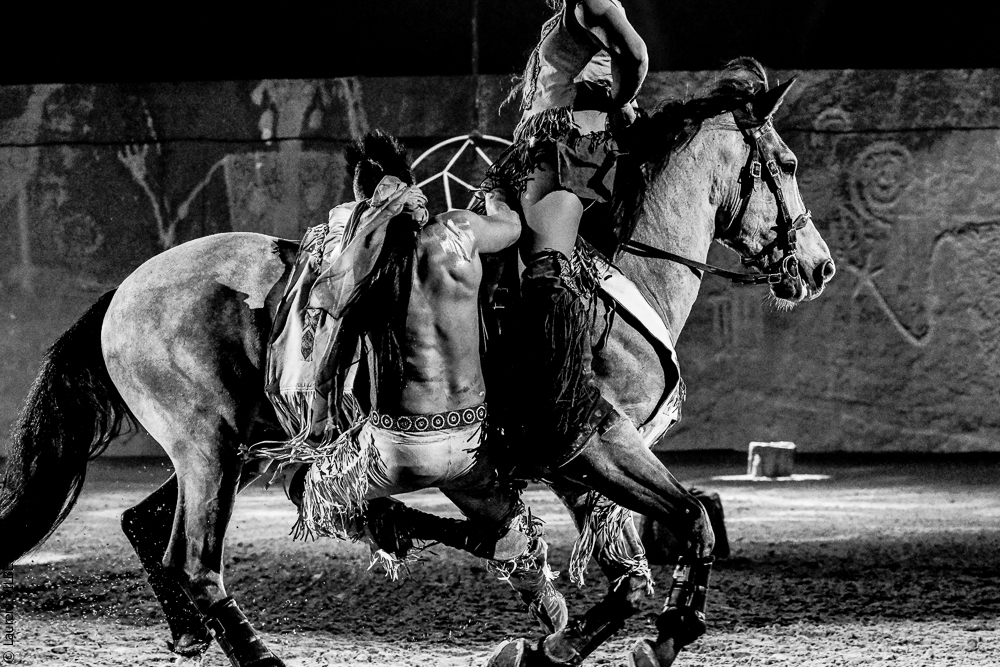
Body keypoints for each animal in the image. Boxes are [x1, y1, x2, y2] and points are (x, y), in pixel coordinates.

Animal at [0, 58, 834, 667]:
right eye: (788, 162)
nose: (818, 266)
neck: (606, 266)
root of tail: (124, 290)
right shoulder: (597, 442)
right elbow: (690, 519)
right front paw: (661, 632)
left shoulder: (577, 462)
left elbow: (633, 574)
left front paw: (554, 642)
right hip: (209, 447)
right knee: (198, 559)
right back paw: (257, 648)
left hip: (231, 444)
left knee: (147, 524)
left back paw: (190, 630)